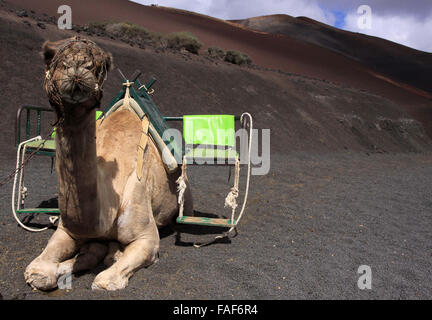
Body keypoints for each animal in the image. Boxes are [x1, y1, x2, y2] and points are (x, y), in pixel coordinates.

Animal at [23, 36, 192, 292]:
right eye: (50, 56)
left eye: (99, 64)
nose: (76, 67)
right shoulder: (67, 230)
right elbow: (39, 271)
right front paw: (52, 271)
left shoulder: (147, 238)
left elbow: (104, 281)